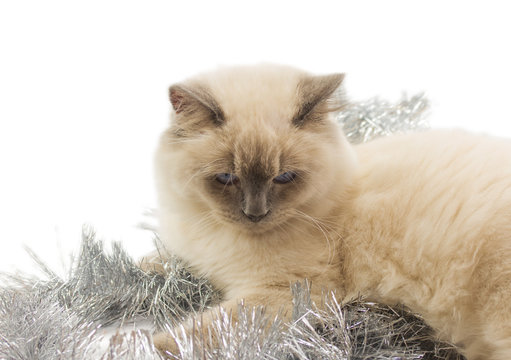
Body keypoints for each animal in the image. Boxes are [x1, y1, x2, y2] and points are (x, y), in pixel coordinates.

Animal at [150, 64, 511, 360]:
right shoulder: (193, 253)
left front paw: (140, 346)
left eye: (283, 177)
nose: (255, 213)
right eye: (227, 178)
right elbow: (159, 261)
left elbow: (197, 333)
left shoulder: (287, 292)